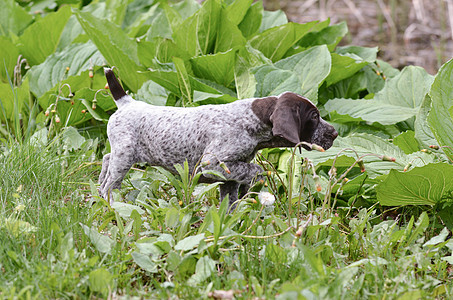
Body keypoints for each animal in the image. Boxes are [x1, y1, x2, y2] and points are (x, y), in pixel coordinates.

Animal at [99, 68, 338, 207]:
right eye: (314, 117)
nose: (335, 133)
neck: (252, 120)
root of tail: (127, 102)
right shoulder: (212, 165)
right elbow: (256, 170)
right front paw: (256, 182)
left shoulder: (228, 175)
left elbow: (230, 201)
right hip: (125, 157)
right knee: (110, 184)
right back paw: (110, 203)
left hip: (122, 154)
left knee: (106, 160)